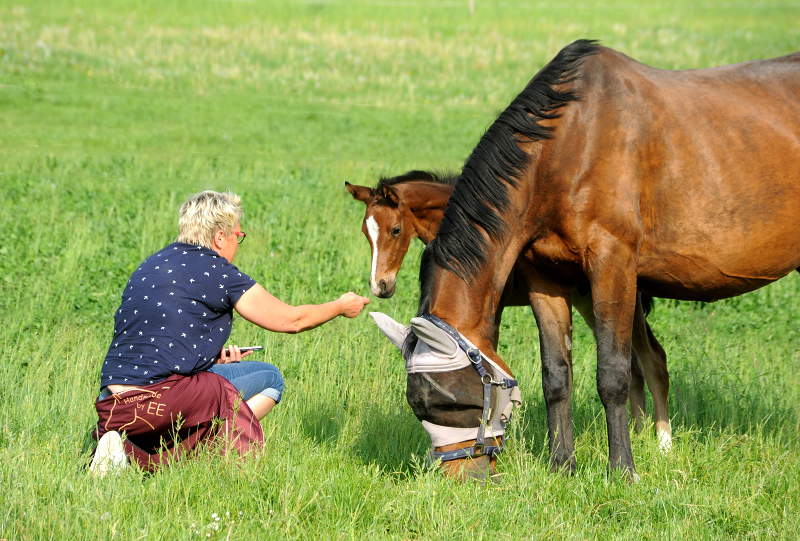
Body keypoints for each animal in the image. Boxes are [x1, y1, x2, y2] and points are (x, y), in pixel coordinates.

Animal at [346, 172, 672, 452]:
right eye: (365, 232)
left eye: (395, 230)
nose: (380, 286)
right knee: (635, 364)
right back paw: (638, 433)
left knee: (652, 358)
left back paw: (661, 444)